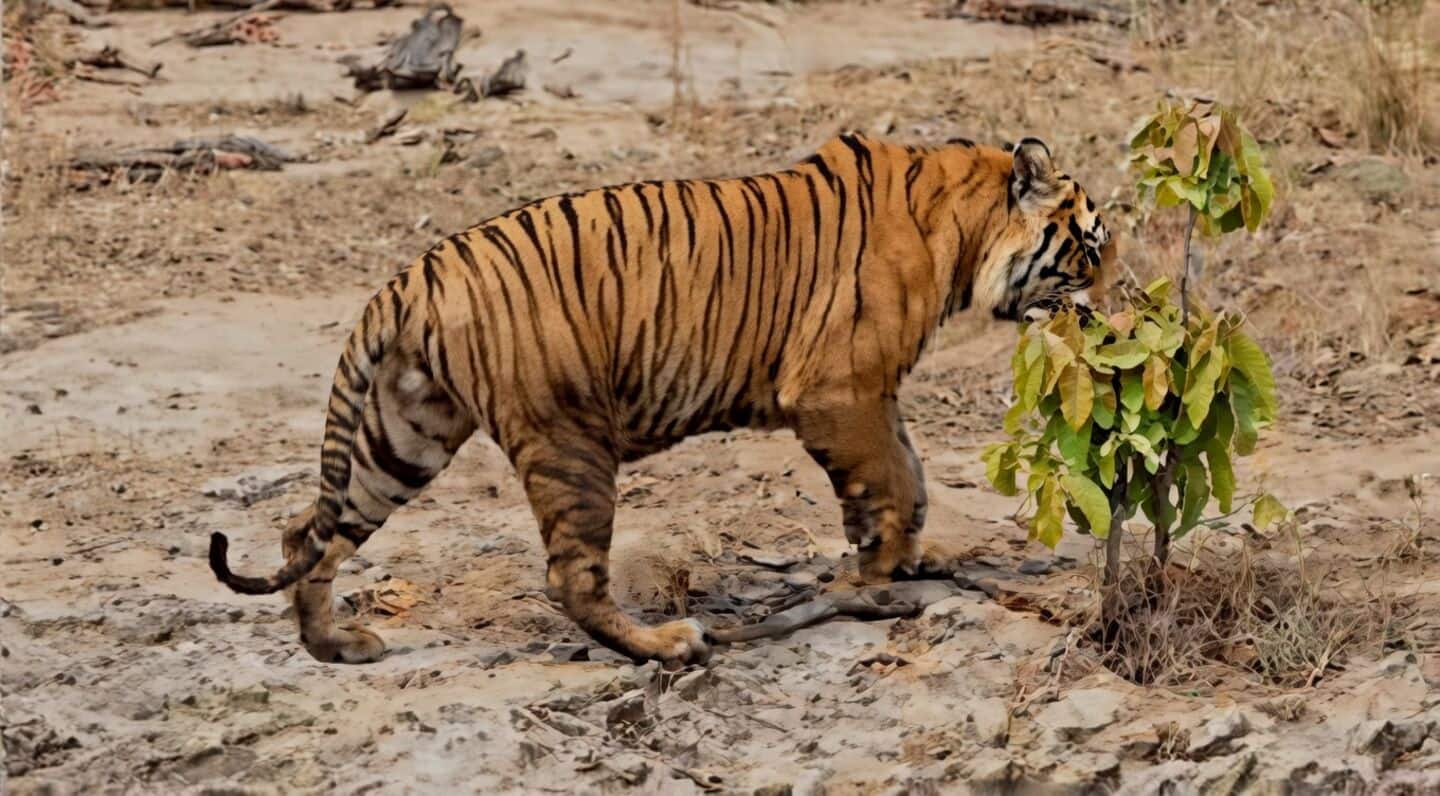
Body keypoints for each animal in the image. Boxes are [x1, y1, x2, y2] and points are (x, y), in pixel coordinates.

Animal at [209, 133, 1112, 666]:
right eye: (1090, 248)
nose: (1111, 308)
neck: (963, 225)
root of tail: (412, 277)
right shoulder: (838, 389)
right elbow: (890, 480)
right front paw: (877, 572)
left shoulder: (869, 391)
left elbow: (912, 477)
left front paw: (902, 560)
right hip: (569, 439)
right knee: (569, 577)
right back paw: (665, 643)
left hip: (404, 435)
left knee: (306, 530)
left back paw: (333, 644)